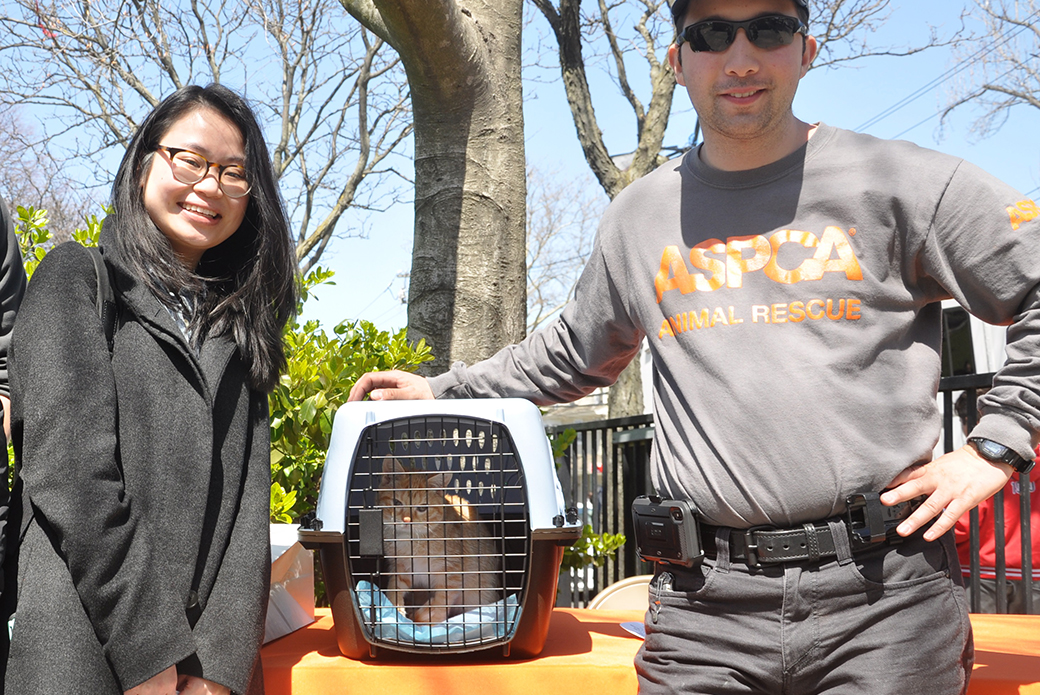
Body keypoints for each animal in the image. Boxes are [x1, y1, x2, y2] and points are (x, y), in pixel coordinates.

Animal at [380, 455, 501, 624]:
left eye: (422, 508)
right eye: (397, 503)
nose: (406, 520)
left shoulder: (453, 574)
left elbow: (441, 601)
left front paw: (424, 619)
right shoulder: (401, 568)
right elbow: (394, 588)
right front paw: (395, 611)